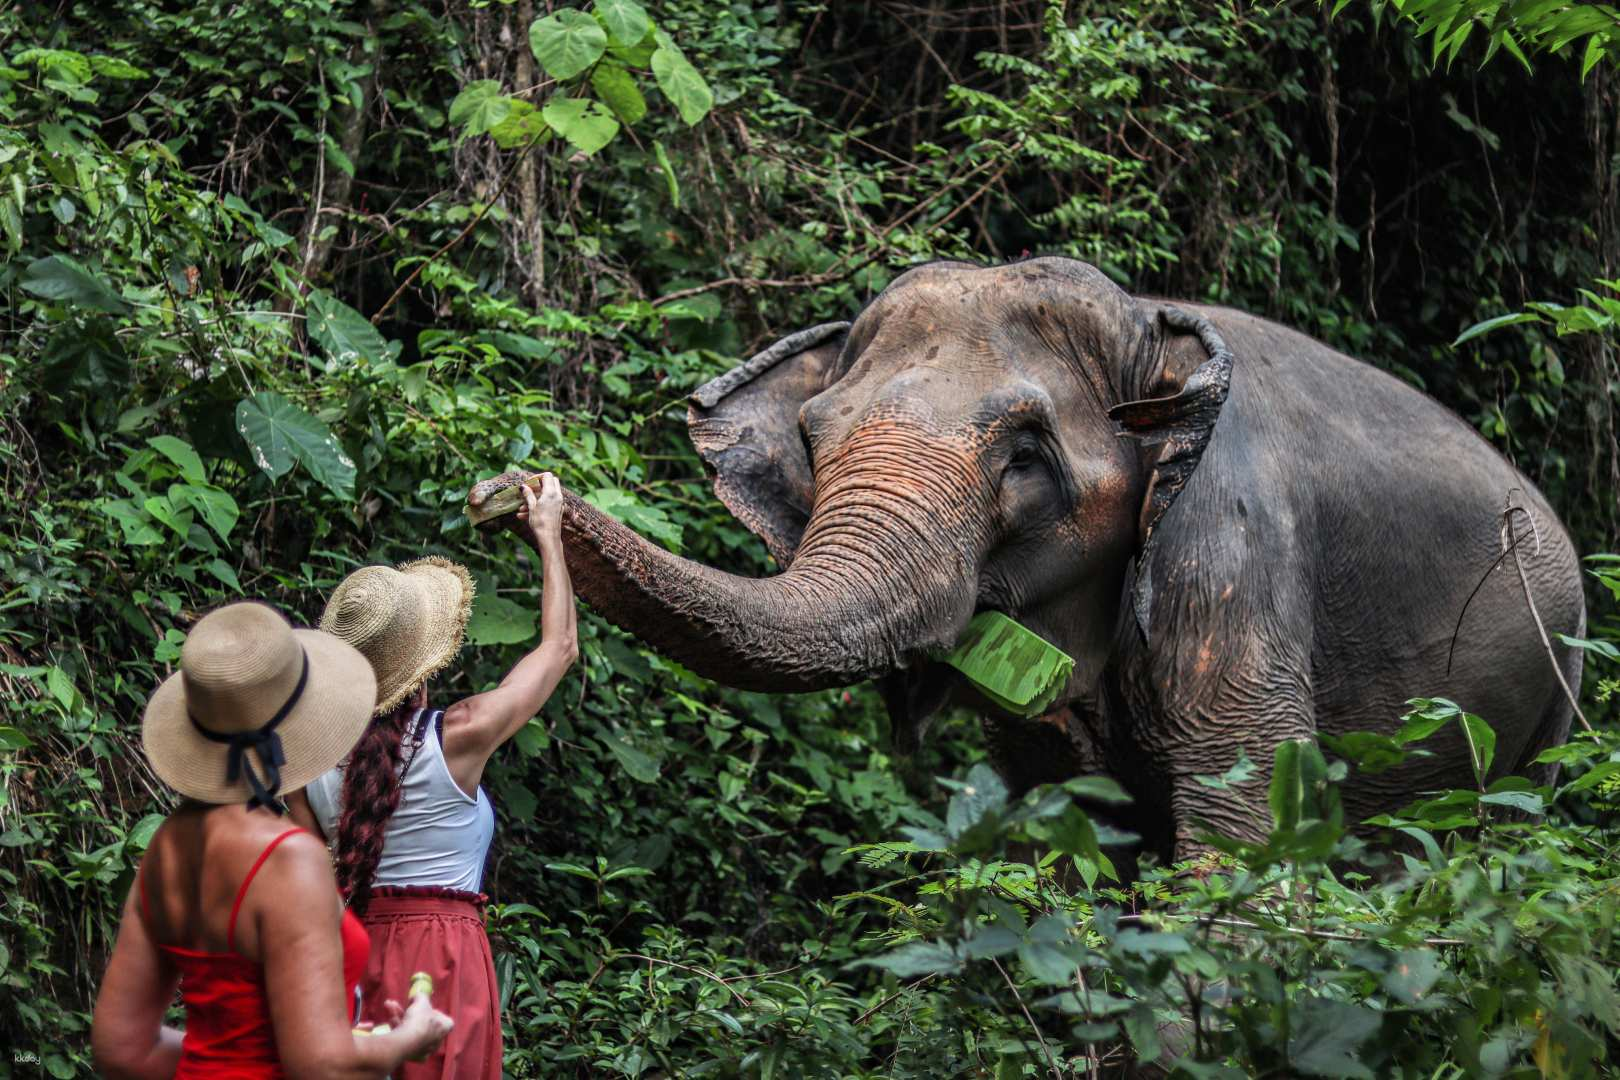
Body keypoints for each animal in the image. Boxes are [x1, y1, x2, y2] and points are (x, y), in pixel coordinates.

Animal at [469, 257, 1581, 867]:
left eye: (1025, 456)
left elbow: (1239, 841)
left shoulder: (1229, 547)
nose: (506, 488)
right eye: (815, 441)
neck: (1153, 329)